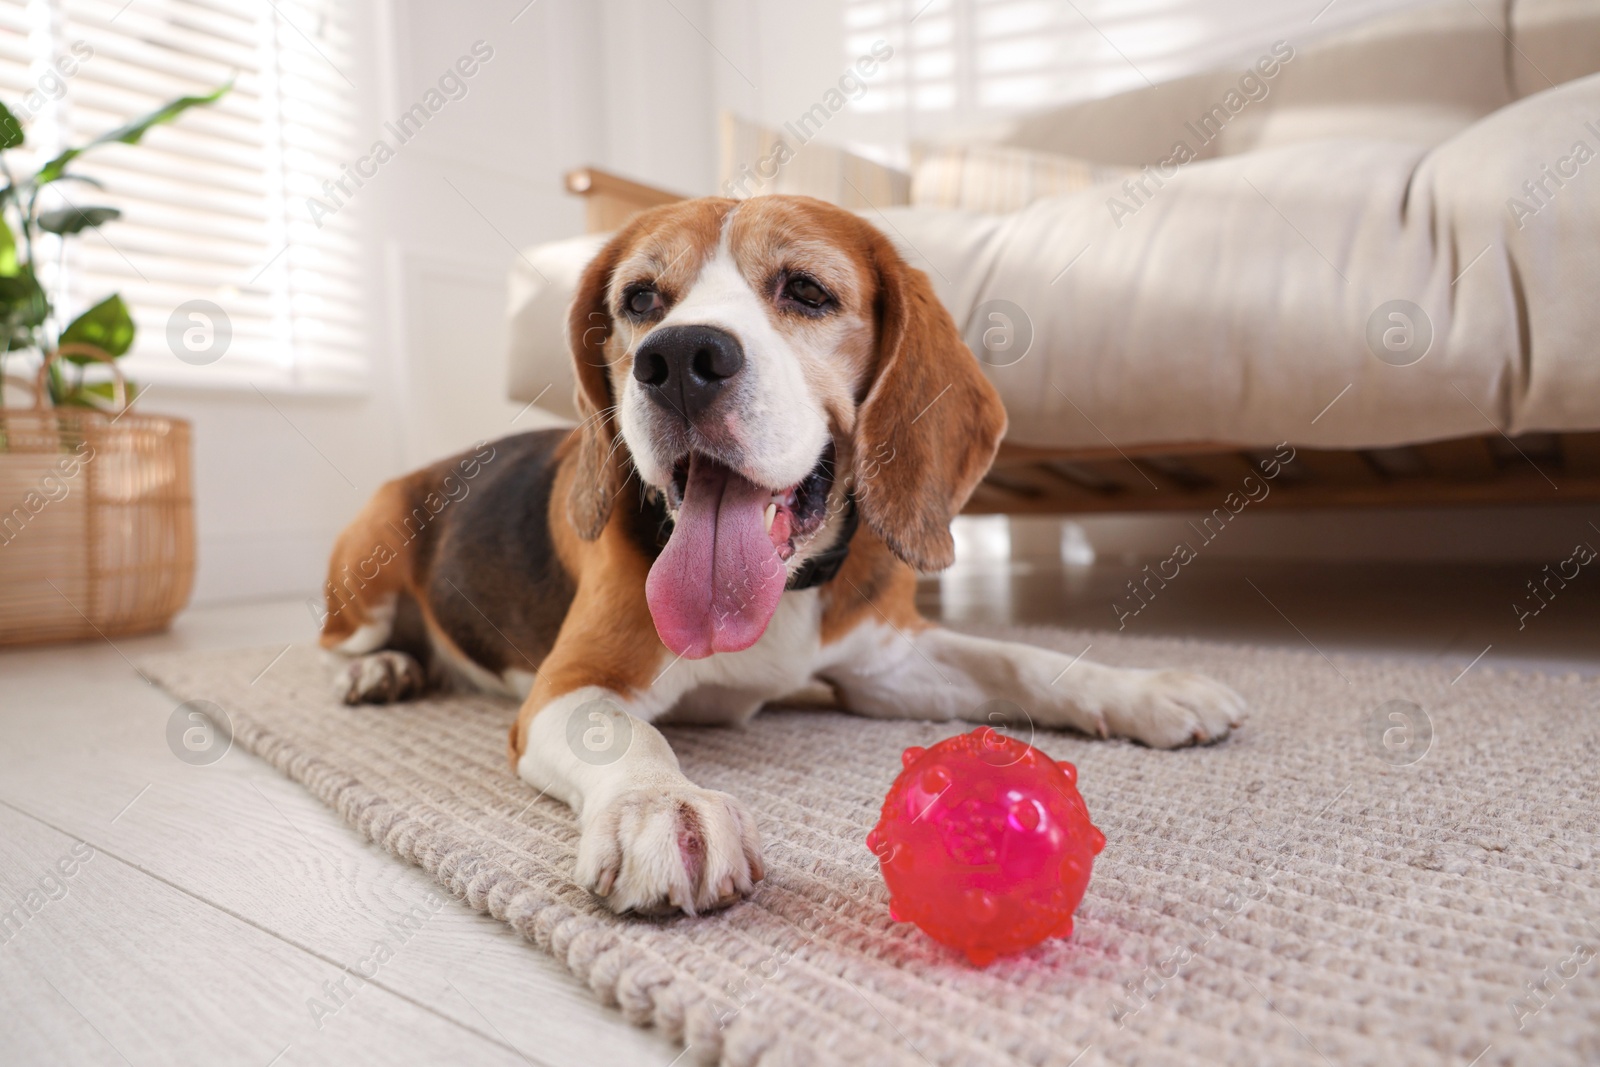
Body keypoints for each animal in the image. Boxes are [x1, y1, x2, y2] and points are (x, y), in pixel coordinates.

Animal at [318, 195, 1248, 915]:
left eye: (805, 290)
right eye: (641, 298)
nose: (677, 358)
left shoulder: (887, 666)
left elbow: (1023, 659)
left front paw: (1145, 687)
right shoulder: (570, 684)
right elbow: (626, 740)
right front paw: (667, 811)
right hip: (366, 560)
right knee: (337, 642)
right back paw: (377, 670)